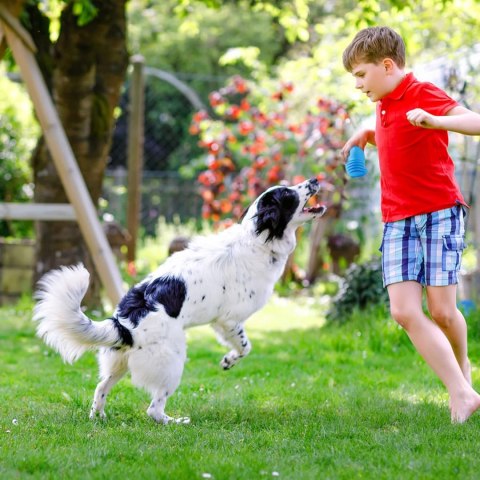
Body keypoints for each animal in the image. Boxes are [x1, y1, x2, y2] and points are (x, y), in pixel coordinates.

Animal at [33, 179, 326, 424]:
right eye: (288, 193)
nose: (315, 180)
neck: (257, 240)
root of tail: (124, 321)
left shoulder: (222, 323)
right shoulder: (229, 320)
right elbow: (245, 347)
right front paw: (229, 361)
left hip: (118, 364)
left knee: (100, 388)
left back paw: (99, 417)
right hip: (172, 361)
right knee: (153, 409)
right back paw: (175, 421)